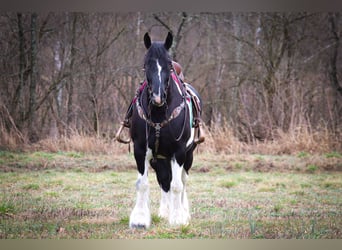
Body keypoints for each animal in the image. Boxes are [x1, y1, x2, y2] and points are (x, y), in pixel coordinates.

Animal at [130, 31, 202, 229]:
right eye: (146, 64)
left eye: (169, 65)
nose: (157, 97)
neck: (159, 113)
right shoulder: (140, 149)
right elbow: (143, 183)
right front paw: (140, 219)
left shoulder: (179, 151)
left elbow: (177, 185)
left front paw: (178, 218)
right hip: (160, 158)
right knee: (164, 180)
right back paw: (164, 211)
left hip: (188, 155)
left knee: (181, 181)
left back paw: (183, 212)